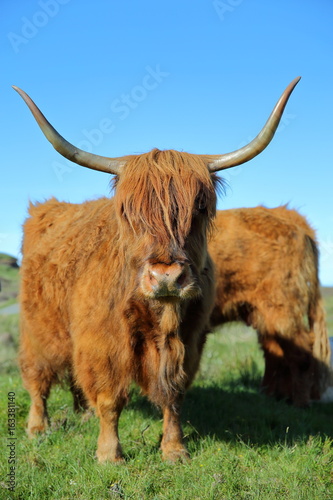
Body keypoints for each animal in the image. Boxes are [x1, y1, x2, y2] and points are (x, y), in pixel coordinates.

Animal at [13, 76, 298, 462]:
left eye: (200, 207)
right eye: (128, 211)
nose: (166, 278)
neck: (160, 315)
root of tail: (46, 209)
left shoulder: (189, 339)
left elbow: (173, 396)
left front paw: (174, 449)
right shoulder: (101, 342)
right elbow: (110, 398)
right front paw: (109, 454)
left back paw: (81, 414)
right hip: (38, 327)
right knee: (37, 376)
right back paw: (37, 427)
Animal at [209, 206, 330, 406]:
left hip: (282, 312)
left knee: (301, 355)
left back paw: (300, 403)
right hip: (265, 316)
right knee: (275, 353)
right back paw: (273, 396)